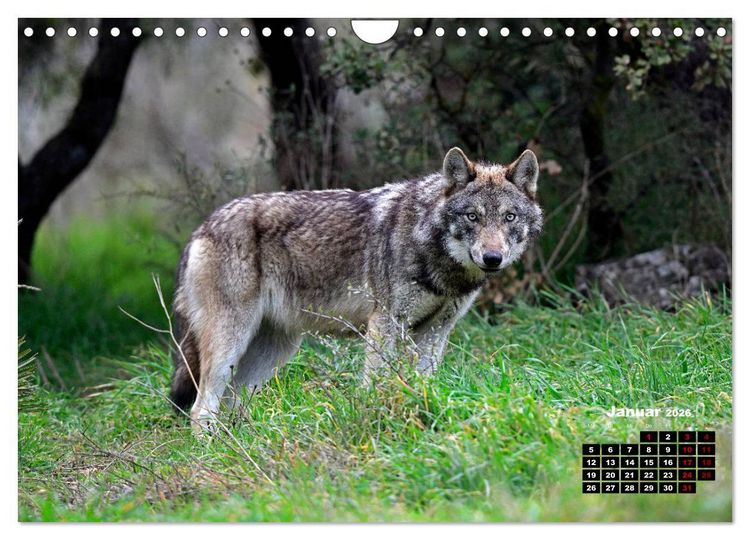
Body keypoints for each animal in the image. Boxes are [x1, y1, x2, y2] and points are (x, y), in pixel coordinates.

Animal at [170, 147, 543, 429]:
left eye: (509, 217)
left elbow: (424, 384)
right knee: (201, 407)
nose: (492, 258)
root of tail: (201, 227)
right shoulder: (385, 323)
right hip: (232, 342)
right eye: (472, 217)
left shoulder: (436, 331)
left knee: (230, 402)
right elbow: (377, 383)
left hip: (272, 352)